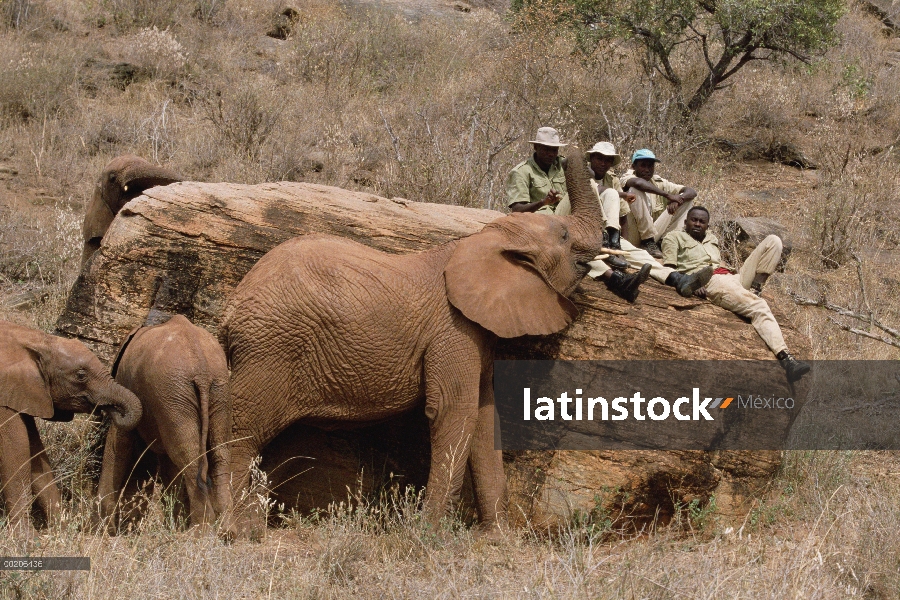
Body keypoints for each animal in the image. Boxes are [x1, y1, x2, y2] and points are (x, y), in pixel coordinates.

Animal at [0, 322, 142, 536]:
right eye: (81, 376)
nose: (110, 410)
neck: (36, 339)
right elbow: (16, 450)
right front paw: (26, 537)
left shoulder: (28, 391)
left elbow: (35, 453)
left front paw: (62, 530)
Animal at [96, 316, 234, 536]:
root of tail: (201, 370)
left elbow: (119, 444)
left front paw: (104, 530)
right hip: (215, 390)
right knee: (219, 454)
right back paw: (227, 533)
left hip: (175, 393)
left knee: (189, 458)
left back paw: (199, 533)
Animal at [220, 148, 604, 536]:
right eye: (565, 235)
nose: (570, 151)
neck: (477, 241)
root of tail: (232, 308)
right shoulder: (452, 329)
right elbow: (455, 411)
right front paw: (431, 533)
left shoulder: (475, 332)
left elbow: (484, 417)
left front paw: (498, 537)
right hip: (271, 347)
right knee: (241, 432)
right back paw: (238, 530)